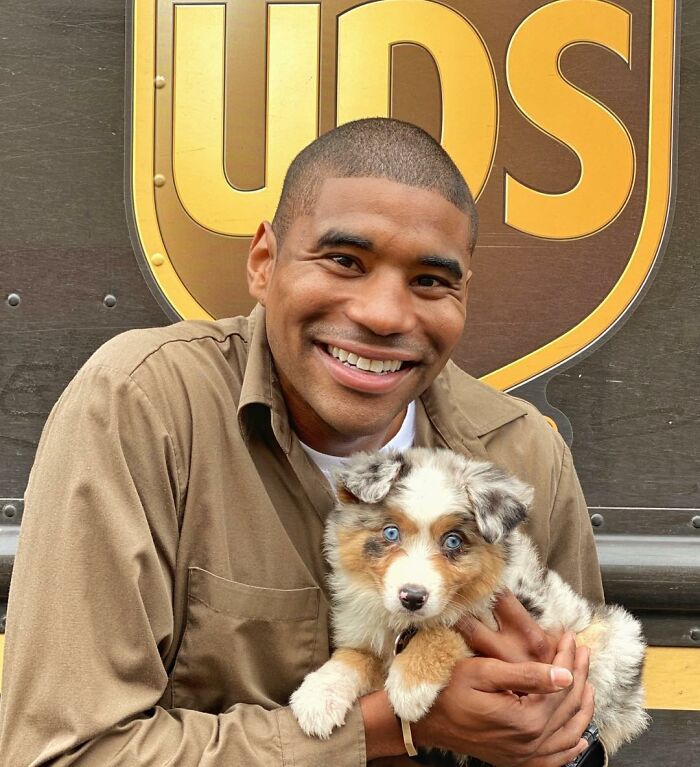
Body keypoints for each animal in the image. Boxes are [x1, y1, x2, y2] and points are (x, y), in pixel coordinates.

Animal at [288, 448, 648, 760]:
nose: (412, 597)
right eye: (390, 533)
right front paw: (318, 697)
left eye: (453, 541)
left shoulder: (514, 613)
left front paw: (410, 686)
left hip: (616, 638)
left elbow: (446, 630)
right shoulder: (366, 631)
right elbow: (350, 658)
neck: (405, 624)